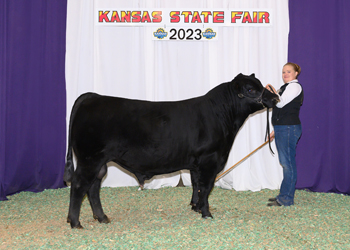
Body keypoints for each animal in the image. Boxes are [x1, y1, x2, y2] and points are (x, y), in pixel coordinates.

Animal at [64, 73, 278, 229]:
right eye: (250, 89)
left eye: (260, 85)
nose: (275, 97)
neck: (221, 115)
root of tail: (92, 96)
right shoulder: (210, 160)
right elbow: (206, 187)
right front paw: (206, 213)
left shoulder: (196, 163)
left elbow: (196, 185)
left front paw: (195, 207)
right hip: (89, 159)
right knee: (79, 185)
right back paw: (75, 223)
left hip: (99, 162)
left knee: (93, 188)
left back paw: (102, 218)